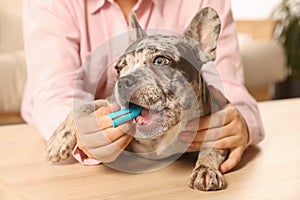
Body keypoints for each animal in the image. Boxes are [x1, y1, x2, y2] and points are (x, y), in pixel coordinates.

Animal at [46, 7, 230, 191]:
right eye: (119, 68)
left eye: (160, 61)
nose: (123, 81)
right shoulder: (110, 102)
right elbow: (80, 107)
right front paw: (58, 140)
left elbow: (213, 147)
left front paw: (205, 169)